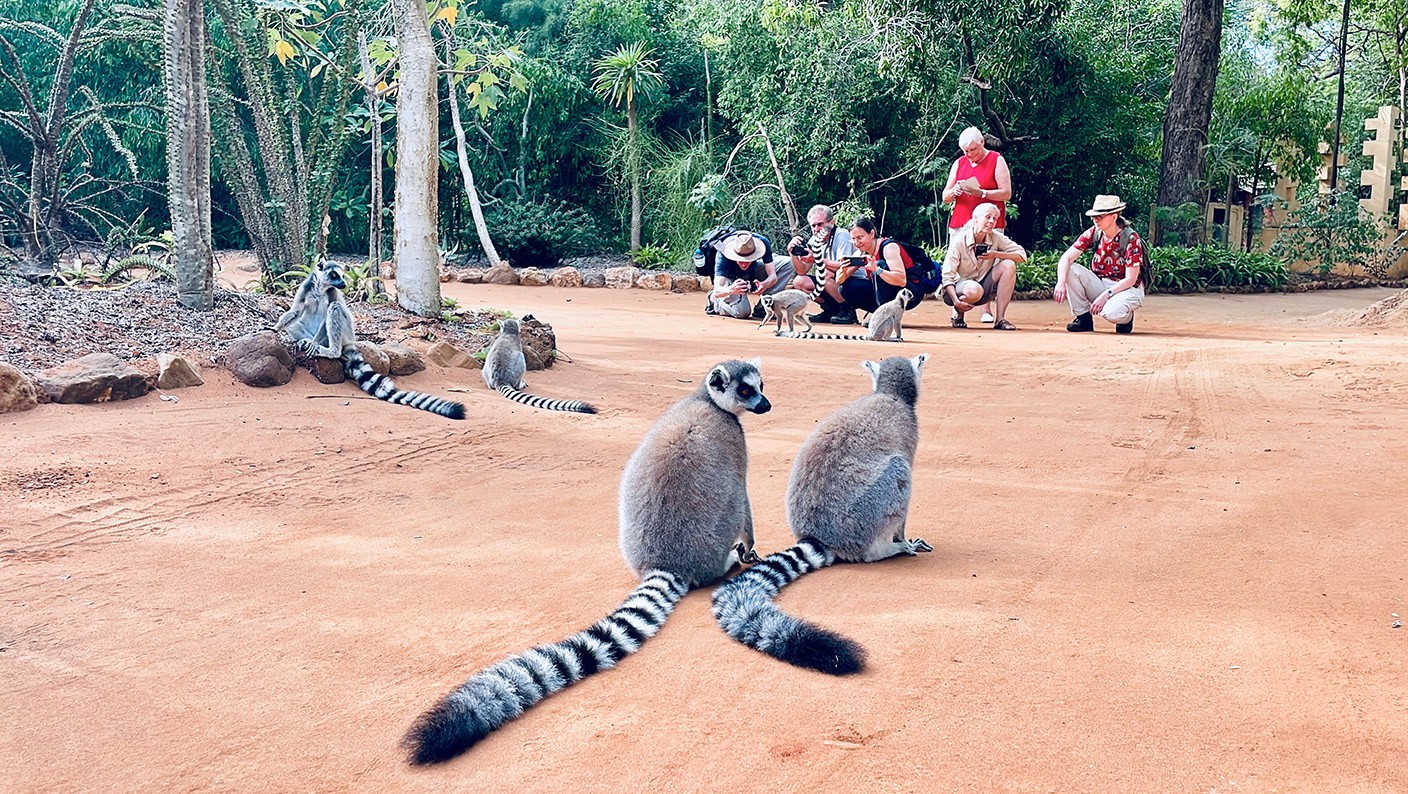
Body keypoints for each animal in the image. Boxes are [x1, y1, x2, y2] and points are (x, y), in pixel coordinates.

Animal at [274, 260, 465, 420]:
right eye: (334, 275)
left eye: (342, 275)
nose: (343, 284)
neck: (320, 289)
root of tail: (349, 342)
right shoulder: (306, 288)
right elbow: (295, 311)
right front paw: (275, 329)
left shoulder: (332, 293)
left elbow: (327, 314)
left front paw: (314, 344)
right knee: (294, 325)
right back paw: (304, 342)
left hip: (345, 333)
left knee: (335, 309)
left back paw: (329, 350)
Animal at [402, 359, 772, 765]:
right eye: (745, 391)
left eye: (761, 386)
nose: (766, 405)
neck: (705, 401)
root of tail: (666, 560)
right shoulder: (734, 439)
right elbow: (743, 491)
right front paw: (750, 547)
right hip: (714, 534)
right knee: (732, 500)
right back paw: (730, 561)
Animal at [711, 354, 931, 676]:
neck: (891, 395)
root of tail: (821, 535)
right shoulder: (908, 437)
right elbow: (903, 506)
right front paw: (904, 539)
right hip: (863, 517)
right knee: (898, 473)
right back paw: (891, 548)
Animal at [775, 288, 912, 343]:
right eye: (910, 294)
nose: (913, 296)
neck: (900, 300)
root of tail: (871, 335)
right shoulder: (899, 309)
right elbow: (896, 322)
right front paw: (898, 336)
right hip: (879, 332)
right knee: (889, 321)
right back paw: (888, 338)